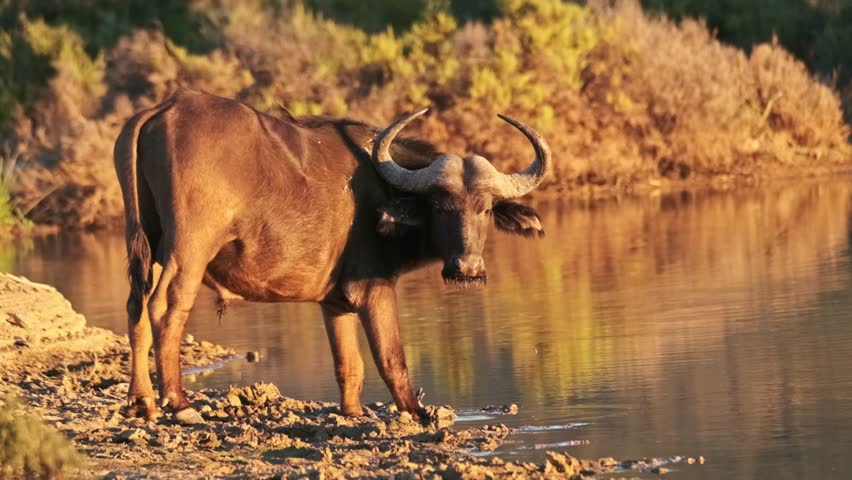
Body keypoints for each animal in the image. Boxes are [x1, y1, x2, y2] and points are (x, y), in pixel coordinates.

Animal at [114, 89, 549, 424]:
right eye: (440, 206)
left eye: (486, 209)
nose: (468, 269)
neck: (383, 192)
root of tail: (166, 108)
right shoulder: (374, 289)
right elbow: (391, 358)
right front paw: (417, 413)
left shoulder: (334, 301)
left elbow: (349, 365)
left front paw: (352, 413)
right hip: (189, 248)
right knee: (165, 307)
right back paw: (179, 403)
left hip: (145, 240)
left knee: (135, 306)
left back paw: (141, 402)